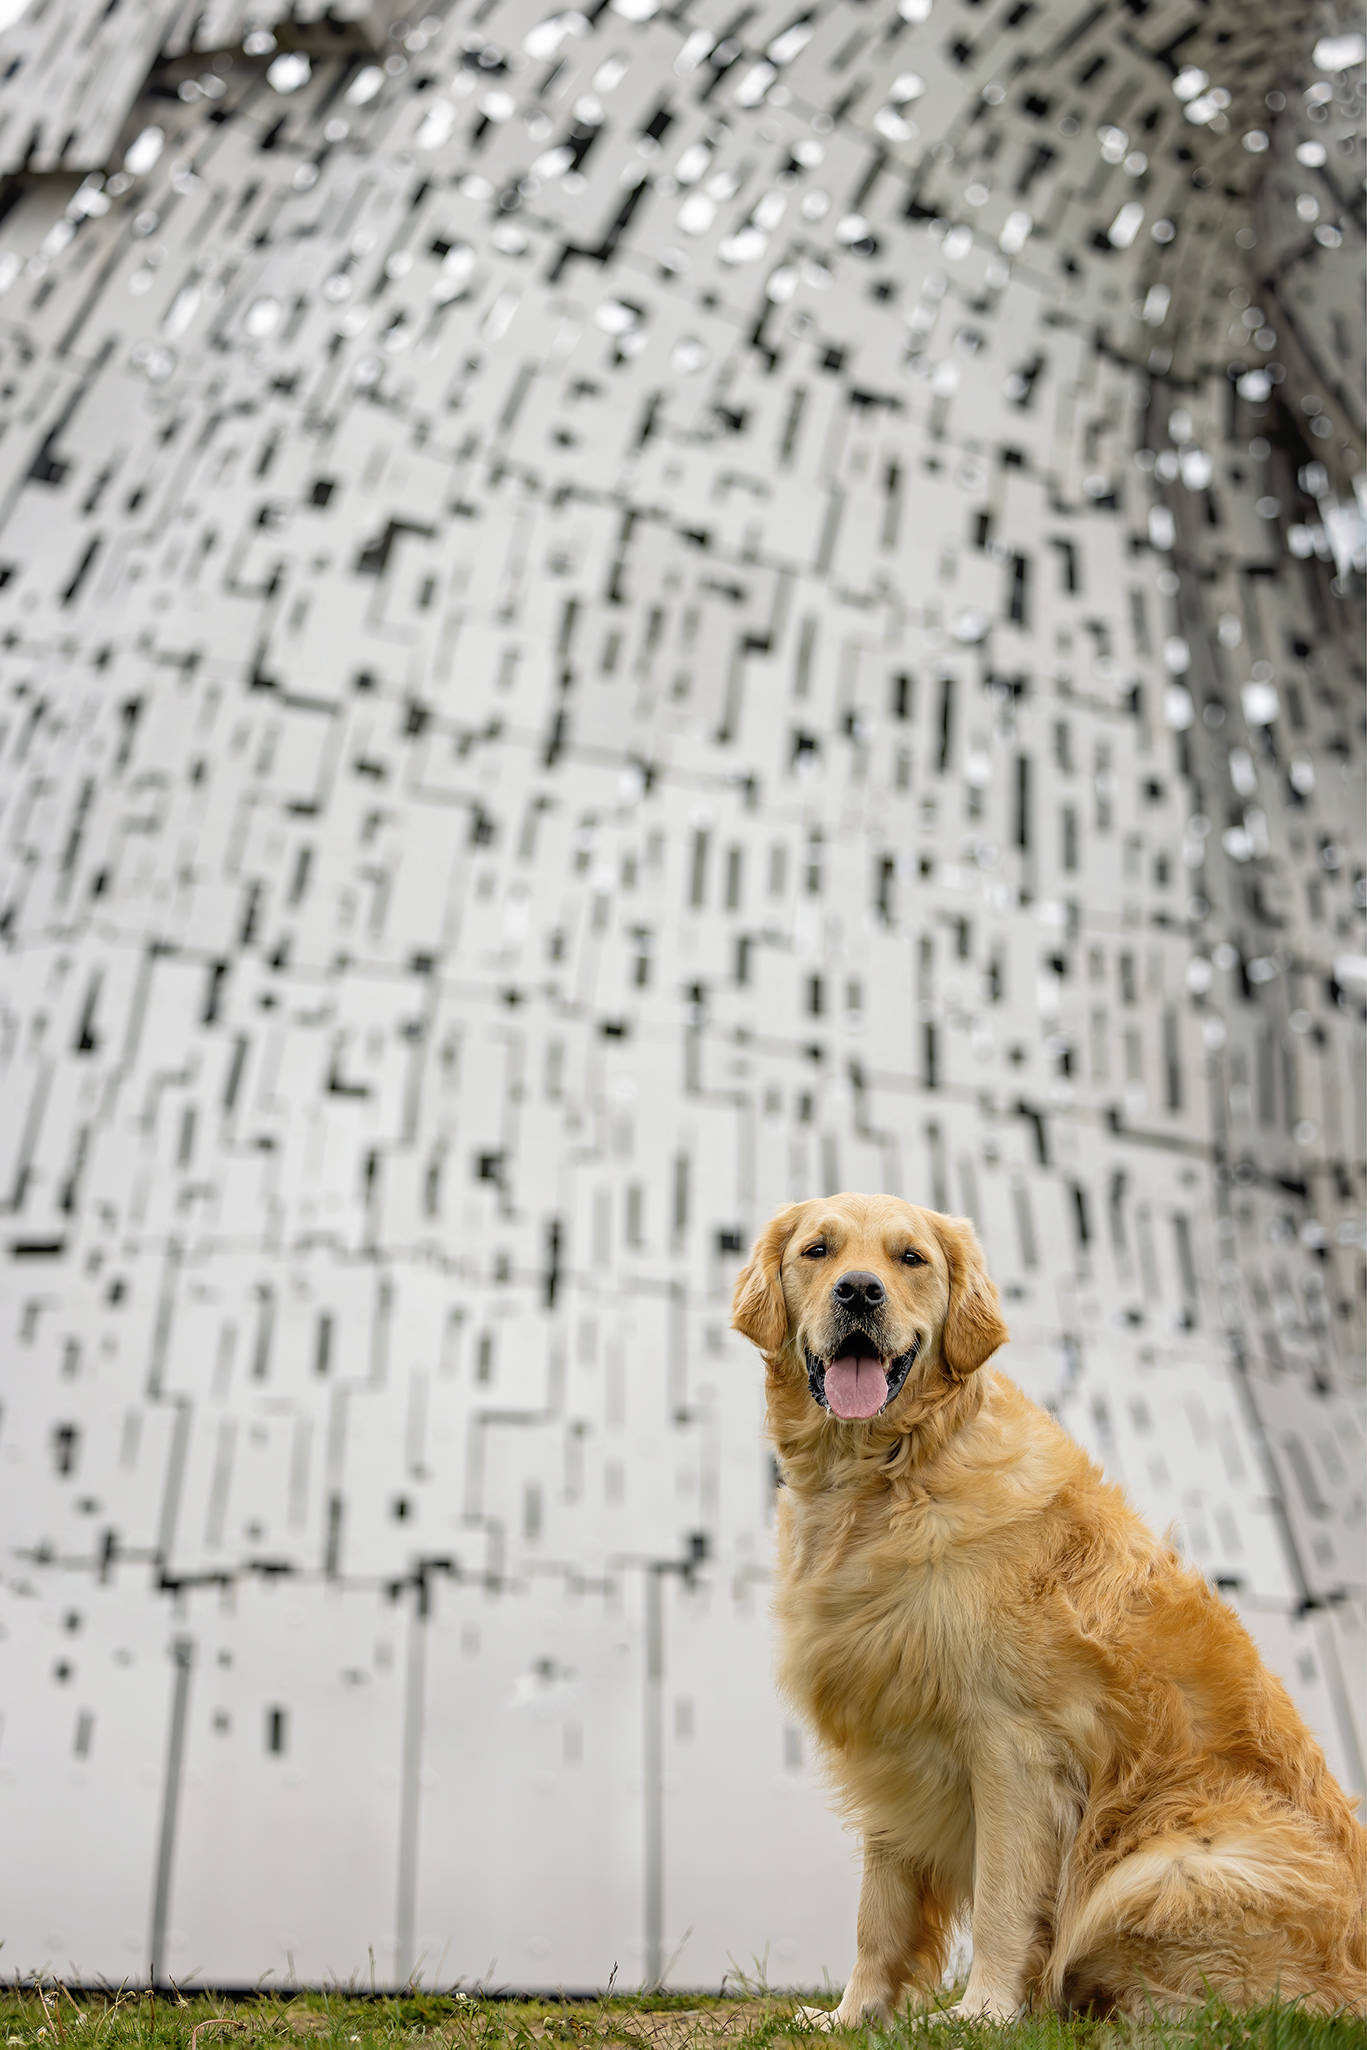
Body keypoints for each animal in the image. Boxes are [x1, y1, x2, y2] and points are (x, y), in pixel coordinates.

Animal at [737, 1197, 1367, 2009]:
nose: (859, 1291)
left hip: (1167, 1861)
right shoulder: (890, 1732)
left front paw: (982, 2012)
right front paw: (857, 2015)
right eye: (818, 1250)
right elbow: (878, 1912)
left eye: (910, 1259)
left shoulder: (1014, 1746)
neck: (889, 1475)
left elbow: (1004, 1901)